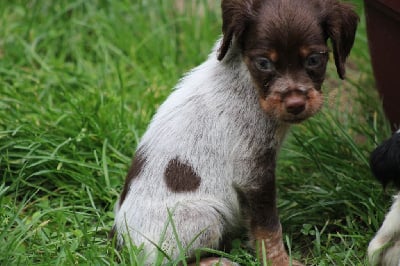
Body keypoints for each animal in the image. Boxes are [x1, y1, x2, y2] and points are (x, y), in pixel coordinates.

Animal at [111, 1, 358, 264]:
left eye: (313, 59)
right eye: (264, 63)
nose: (295, 105)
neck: (249, 82)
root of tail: (121, 244)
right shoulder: (252, 171)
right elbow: (268, 226)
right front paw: (278, 260)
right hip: (206, 215)